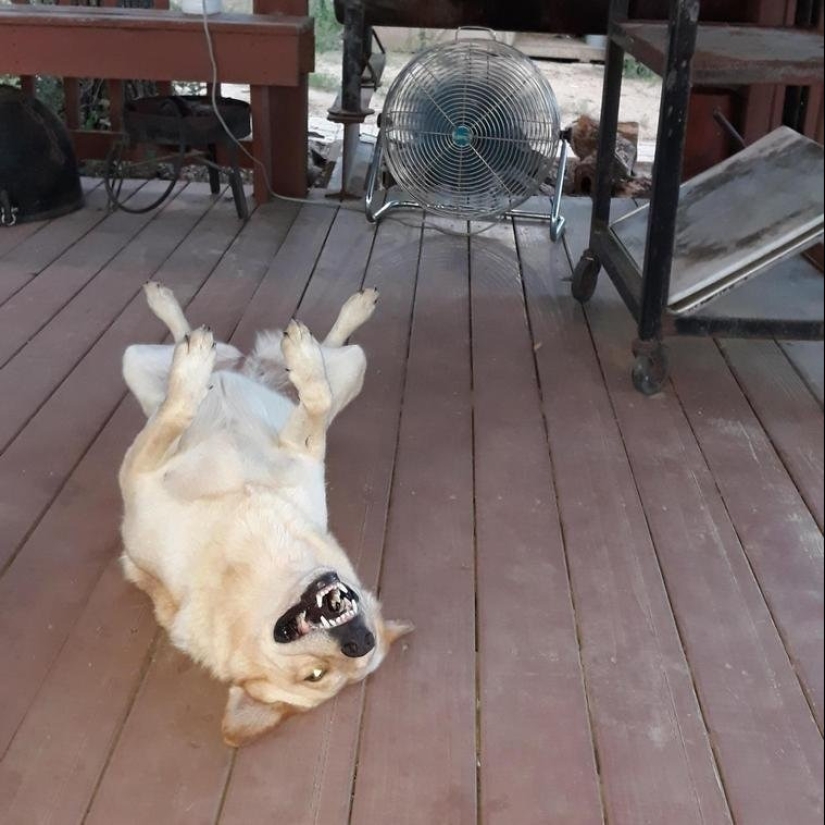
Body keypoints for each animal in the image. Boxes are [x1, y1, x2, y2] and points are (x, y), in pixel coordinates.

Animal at [116, 282, 412, 748]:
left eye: (315, 676)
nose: (360, 641)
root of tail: (252, 366)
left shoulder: (301, 452)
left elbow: (315, 403)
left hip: (354, 365)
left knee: (327, 370)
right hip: (135, 362)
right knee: (188, 349)